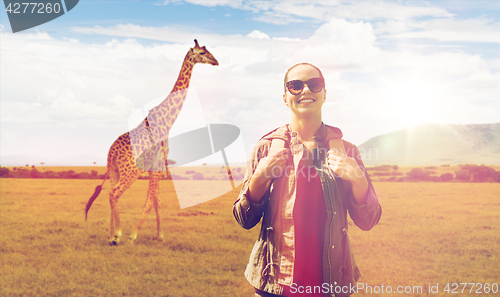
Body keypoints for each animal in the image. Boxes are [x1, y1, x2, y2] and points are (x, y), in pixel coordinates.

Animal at [86, 38, 219, 243]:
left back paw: (111, 235)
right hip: (130, 172)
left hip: (114, 171)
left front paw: (160, 234)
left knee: (110, 193)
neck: (168, 120)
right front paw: (133, 235)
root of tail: (111, 153)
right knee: (114, 193)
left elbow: (157, 199)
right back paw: (118, 235)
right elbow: (150, 200)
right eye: (202, 53)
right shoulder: (157, 163)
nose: (216, 61)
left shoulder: (156, 166)